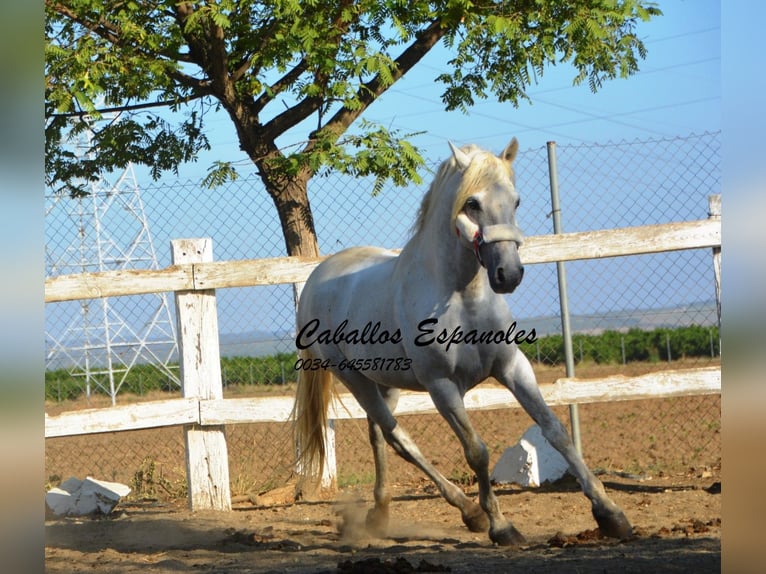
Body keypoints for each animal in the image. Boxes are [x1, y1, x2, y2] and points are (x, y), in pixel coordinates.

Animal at [292, 137, 632, 548]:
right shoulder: (442, 386)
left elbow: (556, 432)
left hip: (384, 381)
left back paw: (382, 513)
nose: (509, 274)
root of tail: (317, 277)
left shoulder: (512, 367)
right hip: (354, 379)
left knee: (380, 438)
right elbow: (477, 451)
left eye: (516, 201)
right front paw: (501, 526)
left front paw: (610, 513)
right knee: (398, 438)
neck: (462, 296)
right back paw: (468, 511)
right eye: (472, 203)